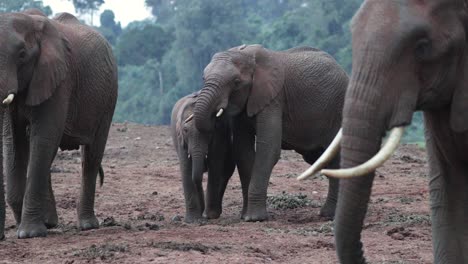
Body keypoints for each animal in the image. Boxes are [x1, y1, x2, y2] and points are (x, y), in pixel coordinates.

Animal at [0, 9, 117, 239]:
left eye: (22, 55)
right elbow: (13, 143)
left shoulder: (60, 79)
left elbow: (43, 138)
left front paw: (29, 234)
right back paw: (49, 223)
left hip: (108, 98)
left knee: (91, 155)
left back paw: (87, 225)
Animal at [171, 92, 236, 222]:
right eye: (185, 130)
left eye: (210, 132)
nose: (202, 212)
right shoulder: (180, 138)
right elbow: (186, 168)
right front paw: (192, 220)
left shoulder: (220, 133)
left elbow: (215, 164)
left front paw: (209, 215)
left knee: (226, 172)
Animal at [192, 44, 350, 222]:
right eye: (203, 78)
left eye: (236, 82)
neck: (246, 54)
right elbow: (243, 152)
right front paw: (245, 216)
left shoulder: (273, 99)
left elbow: (267, 149)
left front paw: (254, 218)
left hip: (338, 110)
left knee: (335, 158)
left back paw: (329, 215)